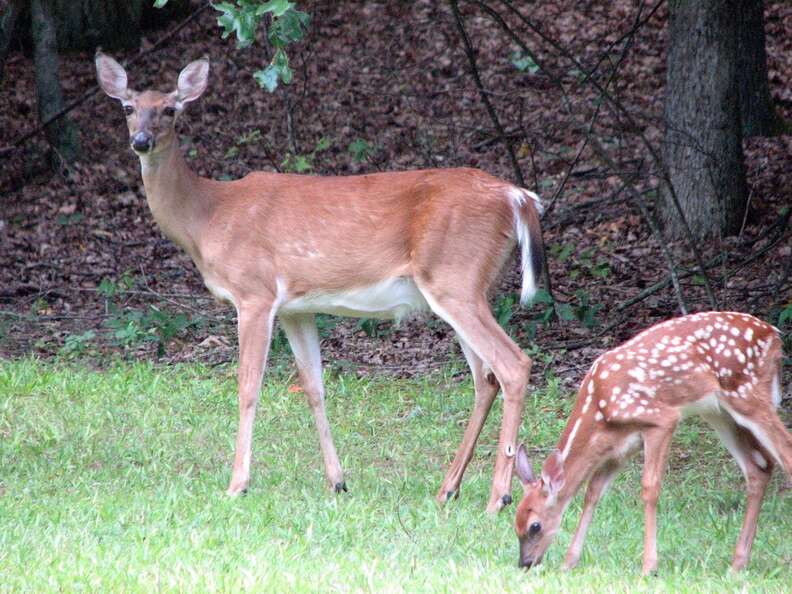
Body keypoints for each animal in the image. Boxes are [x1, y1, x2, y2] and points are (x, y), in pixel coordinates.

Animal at [94, 53, 544, 512]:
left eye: (171, 109)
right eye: (128, 108)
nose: (142, 141)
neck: (208, 216)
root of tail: (518, 197)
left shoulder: (254, 293)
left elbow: (248, 387)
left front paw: (237, 484)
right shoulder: (297, 308)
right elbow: (314, 387)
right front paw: (338, 481)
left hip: (456, 279)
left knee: (512, 365)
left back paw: (499, 497)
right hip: (470, 286)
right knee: (485, 378)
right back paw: (447, 488)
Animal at [512, 312, 792, 572]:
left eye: (535, 526)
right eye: (515, 523)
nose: (525, 563)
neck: (601, 408)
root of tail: (773, 334)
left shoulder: (661, 419)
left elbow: (649, 488)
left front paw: (649, 567)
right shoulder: (620, 447)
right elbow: (593, 492)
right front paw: (568, 563)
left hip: (745, 392)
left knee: (785, 453)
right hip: (718, 412)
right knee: (758, 468)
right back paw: (737, 564)